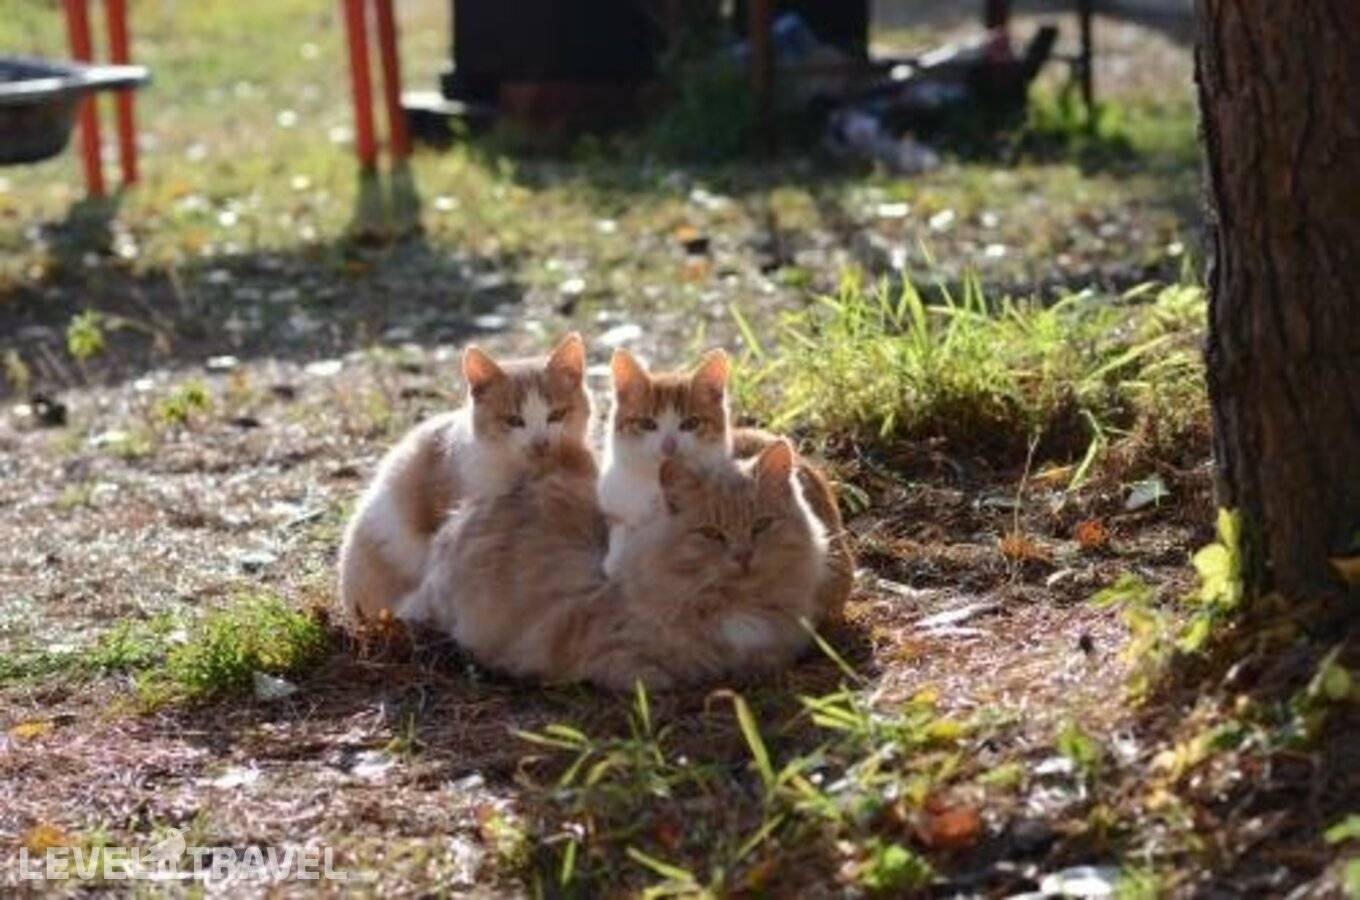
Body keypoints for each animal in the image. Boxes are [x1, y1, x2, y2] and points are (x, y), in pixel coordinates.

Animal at [597, 347, 734, 577]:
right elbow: (620, 525)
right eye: (647, 424)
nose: (668, 445)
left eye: (691, 423)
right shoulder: (615, 497)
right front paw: (616, 558)